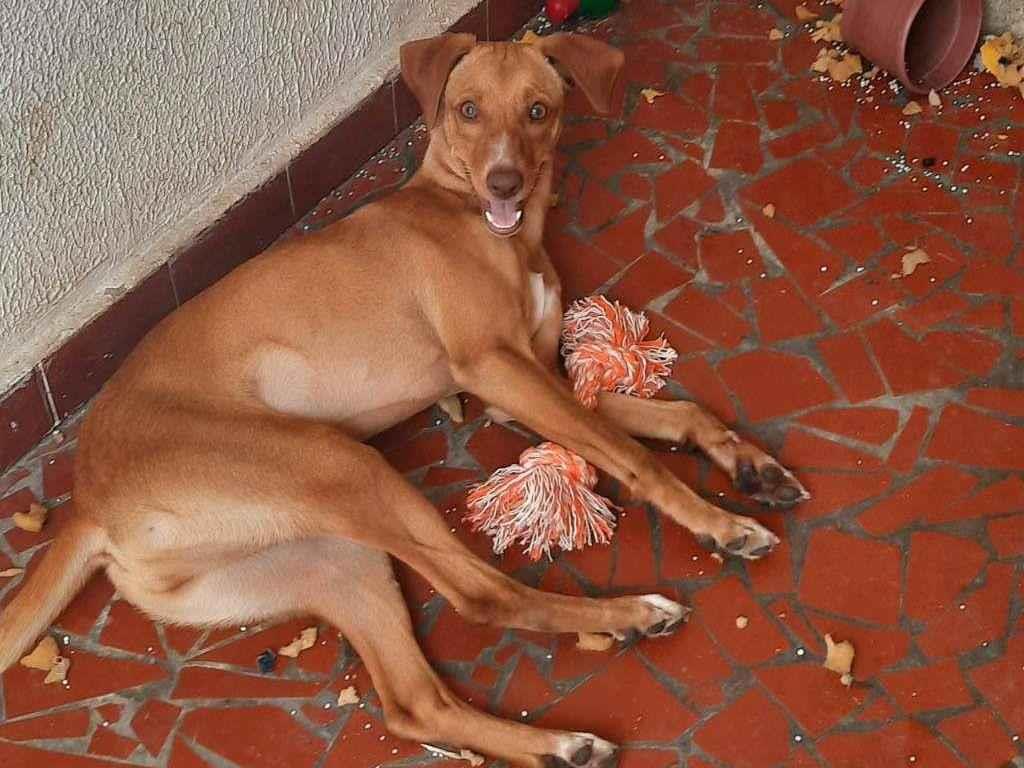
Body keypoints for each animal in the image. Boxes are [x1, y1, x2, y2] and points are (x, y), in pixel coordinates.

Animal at [0, 33, 807, 767]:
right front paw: (719, 522)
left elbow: (679, 415)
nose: (505, 183)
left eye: (538, 110)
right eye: (467, 109)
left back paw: (557, 743)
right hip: (338, 464)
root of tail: (87, 503)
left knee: (415, 701)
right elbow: (638, 456)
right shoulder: (498, 370)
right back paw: (632, 615)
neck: (479, 220)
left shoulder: (526, 382)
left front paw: (751, 466)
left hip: (329, 555)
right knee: (481, 594)